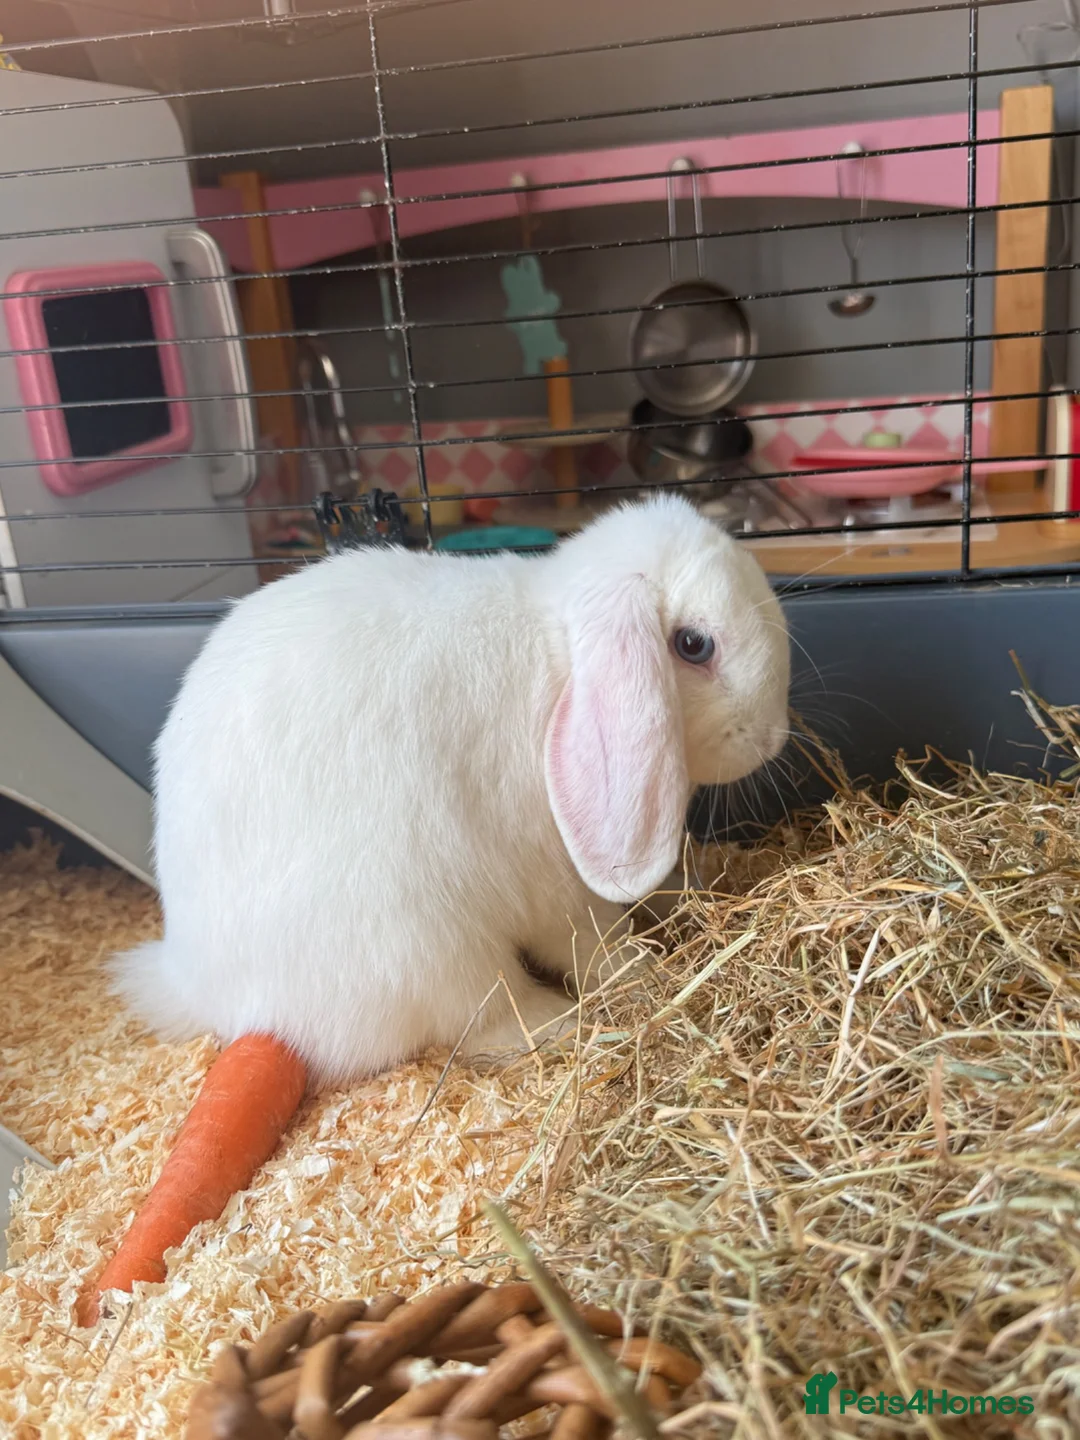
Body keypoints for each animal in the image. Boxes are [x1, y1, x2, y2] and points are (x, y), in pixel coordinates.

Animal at [113, 492, 790, 1085]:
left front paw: (692, 890)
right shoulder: (559, 888)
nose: (772, 738)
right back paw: (562, 1023)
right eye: (694, 645)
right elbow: (595, 942)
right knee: (485, 1017)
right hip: (426, 946)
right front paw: (647, 977)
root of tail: (195, 984)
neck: (560, 663)